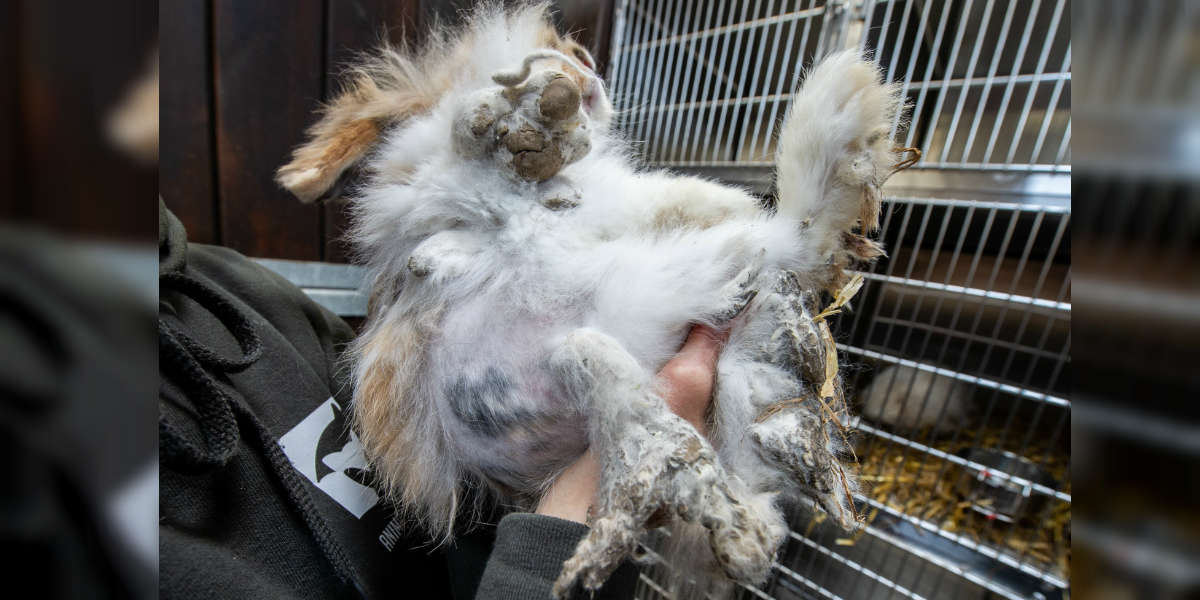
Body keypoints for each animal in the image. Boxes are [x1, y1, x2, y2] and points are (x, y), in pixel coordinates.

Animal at [276, 2, 905, 596]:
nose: (579, 71)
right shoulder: (418, 201)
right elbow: (450, 164)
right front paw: (519, 122)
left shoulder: (615, 203)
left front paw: (529, 126)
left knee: (791, 248)